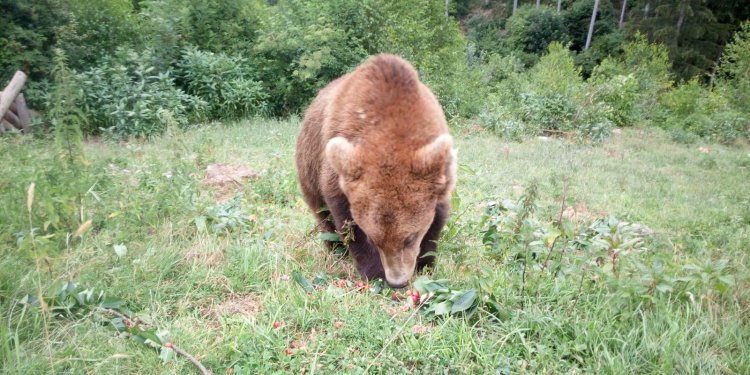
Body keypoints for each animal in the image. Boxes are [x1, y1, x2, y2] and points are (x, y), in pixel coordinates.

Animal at [296, 53, 458, 288]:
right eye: (375, 239)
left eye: (410, 237)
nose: (397, 281)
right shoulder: (339, 174)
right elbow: (349, 225)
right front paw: (374, 272)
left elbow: (438, 216)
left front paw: (425, 263)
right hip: (309, 168)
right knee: (323, 216)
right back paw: (336, 250)